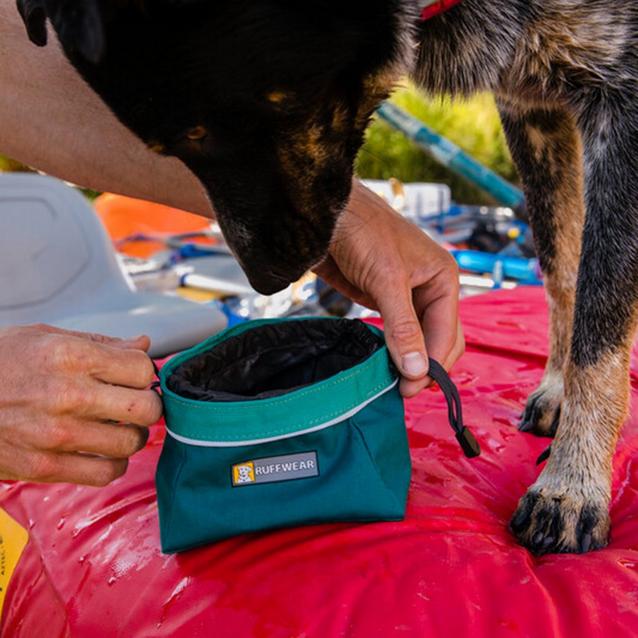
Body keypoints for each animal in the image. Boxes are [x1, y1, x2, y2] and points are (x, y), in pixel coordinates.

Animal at [16, 1, 638, 556]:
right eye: (169, 145)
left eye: (201, 133)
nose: (267, 282)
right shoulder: (529, 105)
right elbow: (562, 270)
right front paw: (559, 391)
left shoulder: (616, 101)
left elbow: (598, 318)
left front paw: (572, 484)